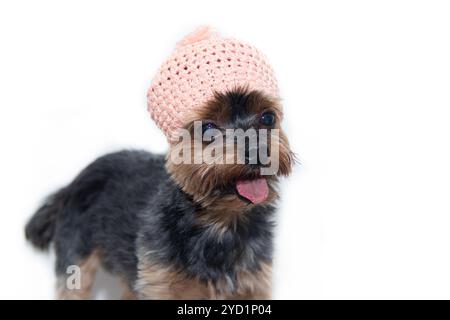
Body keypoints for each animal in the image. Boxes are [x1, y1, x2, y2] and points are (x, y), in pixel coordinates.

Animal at [24, 26, 296, 298]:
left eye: (268, 117)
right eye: (208, 128)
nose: (258, 152)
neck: (220, 223)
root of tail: (72, 184)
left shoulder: (253, 284)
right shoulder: (159, 282)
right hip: (77, 255)